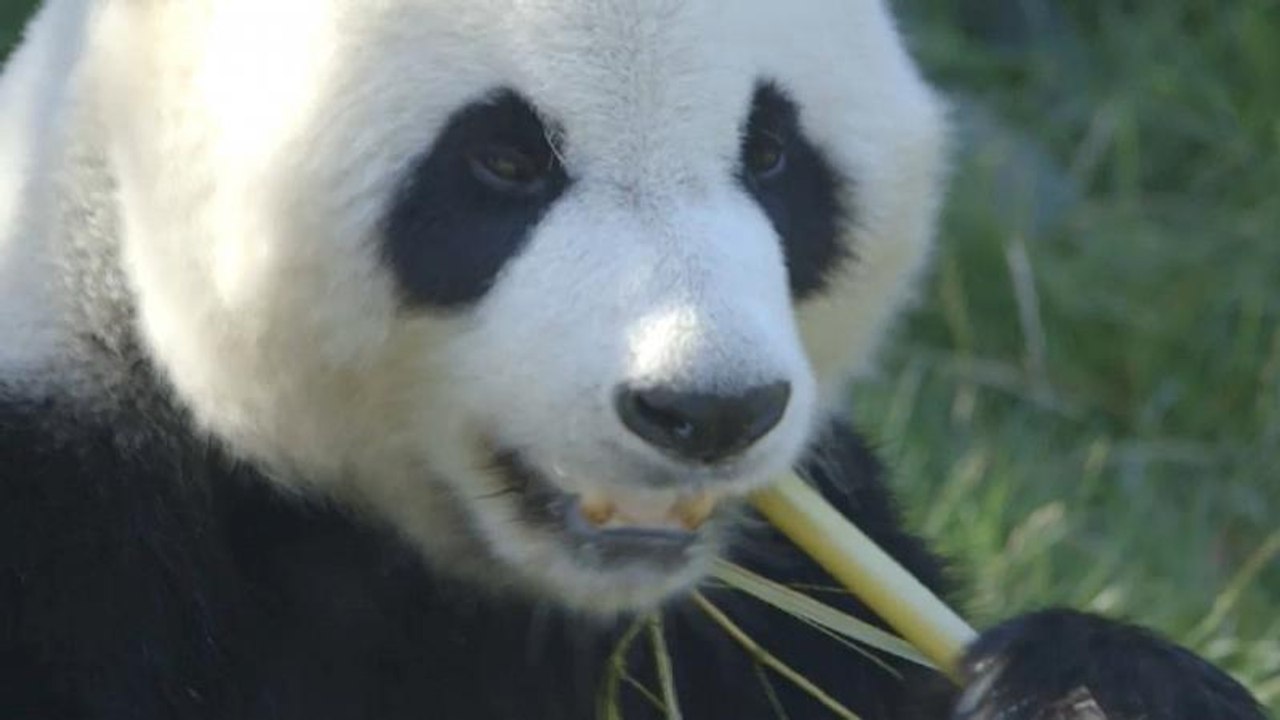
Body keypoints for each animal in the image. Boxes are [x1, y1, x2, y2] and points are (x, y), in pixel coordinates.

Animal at [0, 0, 1266, 718]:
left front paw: (1096, 686)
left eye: (771, 152)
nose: (709, 412)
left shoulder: (763, 602)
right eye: (503, 161)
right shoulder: (77, 526)